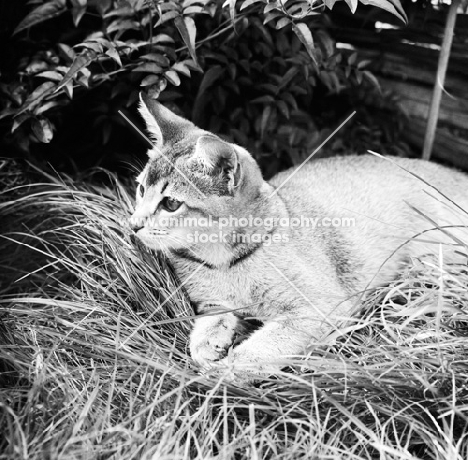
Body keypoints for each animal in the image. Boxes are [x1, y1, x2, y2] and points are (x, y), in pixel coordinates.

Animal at [130, 91, 468, 382]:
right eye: (141, 189)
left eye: (170, 204)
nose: (133, 224)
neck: (224, 263)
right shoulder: (211, 302)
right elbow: (207, 324)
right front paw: (207, 345)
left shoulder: (320, 309)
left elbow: (263, 347)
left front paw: (224, 372)